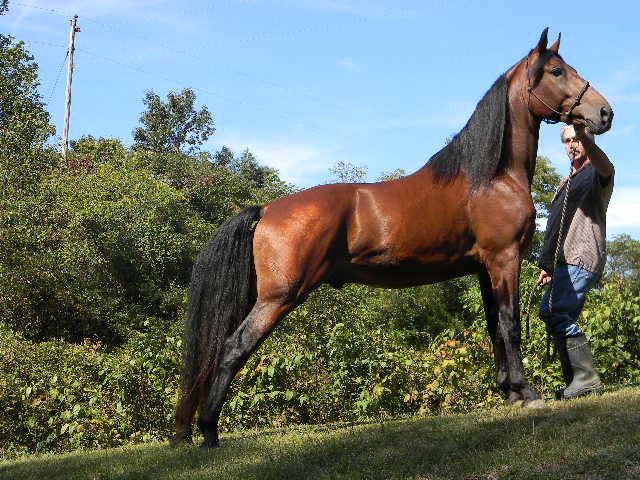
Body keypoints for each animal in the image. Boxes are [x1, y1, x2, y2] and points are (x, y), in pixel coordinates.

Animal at [170, 29, 608, 450]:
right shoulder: (504, 259)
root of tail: (266, 209)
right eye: (557, 71)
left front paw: (509, 392)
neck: (490, 177)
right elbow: (510, 322)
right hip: (279, 297)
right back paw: (208, 430)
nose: (604, 112)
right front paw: (526, 392)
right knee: (233, 348)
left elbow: (493, 327)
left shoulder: (484, 266)